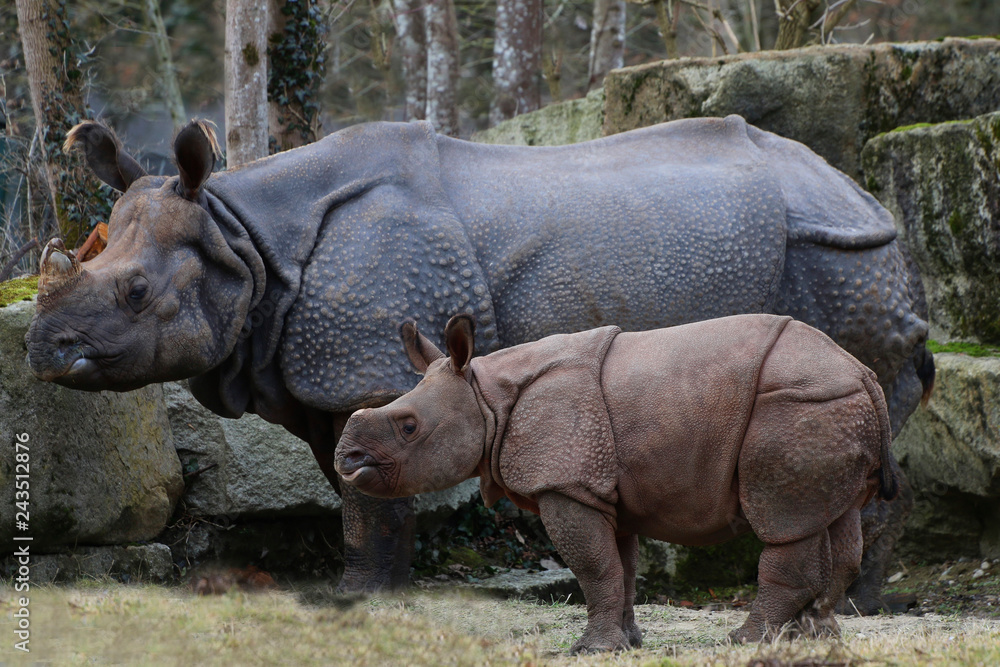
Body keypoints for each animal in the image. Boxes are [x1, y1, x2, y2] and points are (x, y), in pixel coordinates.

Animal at [26, 115, 930, 610]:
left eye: (135, 291)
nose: (39, 351)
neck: (243, 238)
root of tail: (861, 190)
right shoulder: (327, 381)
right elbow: (356, 479)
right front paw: (374, 588)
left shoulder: (363, 365)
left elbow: (366, 499)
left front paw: (357, 597)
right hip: (834, 248)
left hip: (838, 256)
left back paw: (852, 606)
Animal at [335, 314, 897, 652]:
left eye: (408, 426)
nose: (346, 460)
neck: (485, 395)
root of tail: (864, 373)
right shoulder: (606, 491)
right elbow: (621, 568)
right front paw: (628, 643)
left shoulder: (565, 483)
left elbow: (592, 565)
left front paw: (591, 649)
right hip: (829, 407)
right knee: (834, 518)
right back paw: (815, 637)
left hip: (796, 407)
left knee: (783, 521)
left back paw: (748, 640)